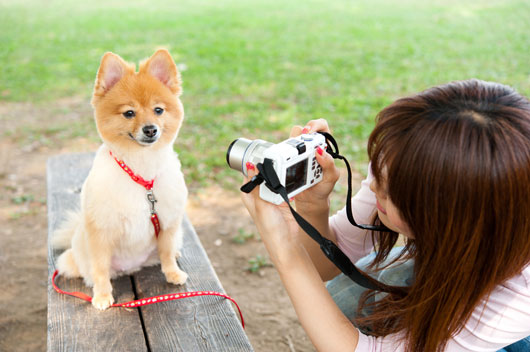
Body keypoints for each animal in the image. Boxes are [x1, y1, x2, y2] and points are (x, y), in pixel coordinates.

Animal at [53, 48, 189, 308]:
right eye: (129, 113)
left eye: (158, 110)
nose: (150, 129)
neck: (142, 170)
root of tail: (132, 267)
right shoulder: (100, 230)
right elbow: (100, 269)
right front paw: (102, 296)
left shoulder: (167, 222)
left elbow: (166, 252)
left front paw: (172, 273)